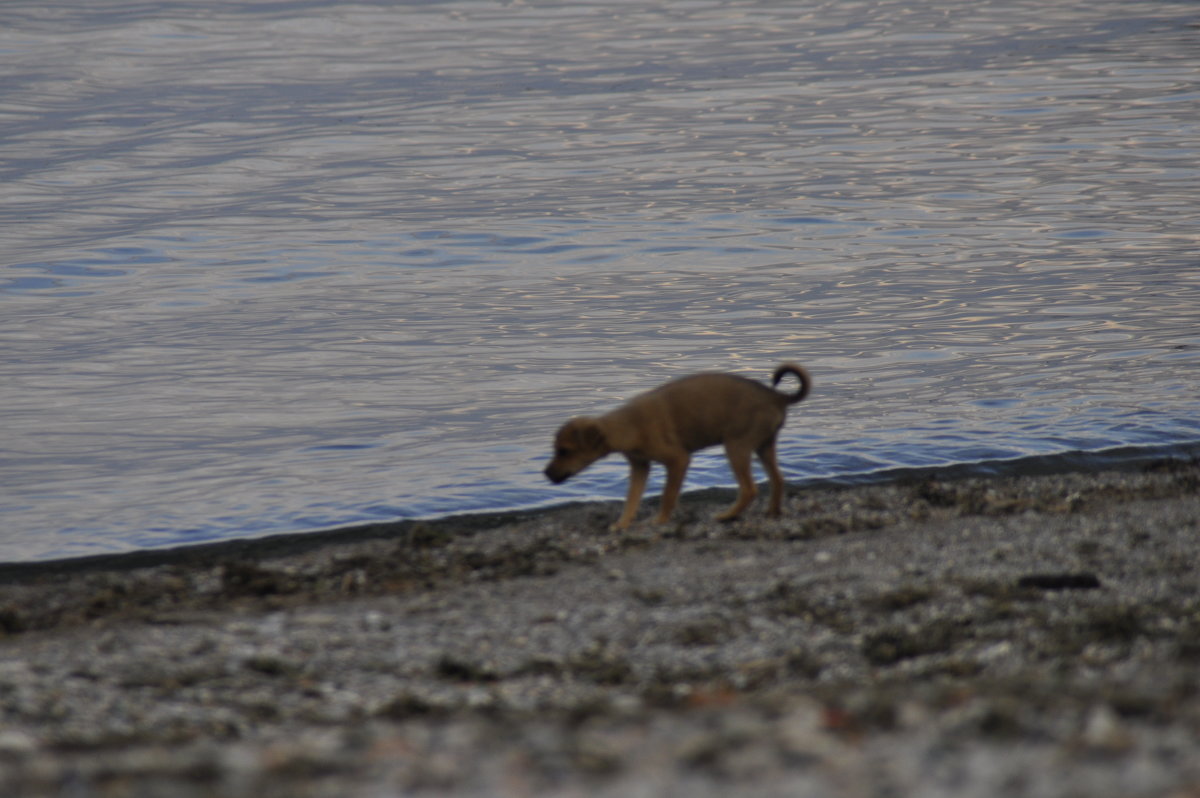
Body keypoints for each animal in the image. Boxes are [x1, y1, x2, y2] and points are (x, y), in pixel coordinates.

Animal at [547, 362, 811, 528]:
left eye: (564, 451)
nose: (546, 474)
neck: (627, 425)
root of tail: (776, 396)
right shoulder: (640, 467)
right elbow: (631, 500)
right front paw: (621, 525)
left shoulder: (677, 460)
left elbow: (667, 495)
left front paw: (660, 521)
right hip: (764, 446)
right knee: (778, 480)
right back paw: (773, 512)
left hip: (736, 447)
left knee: (749, 489)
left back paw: (726, 516)